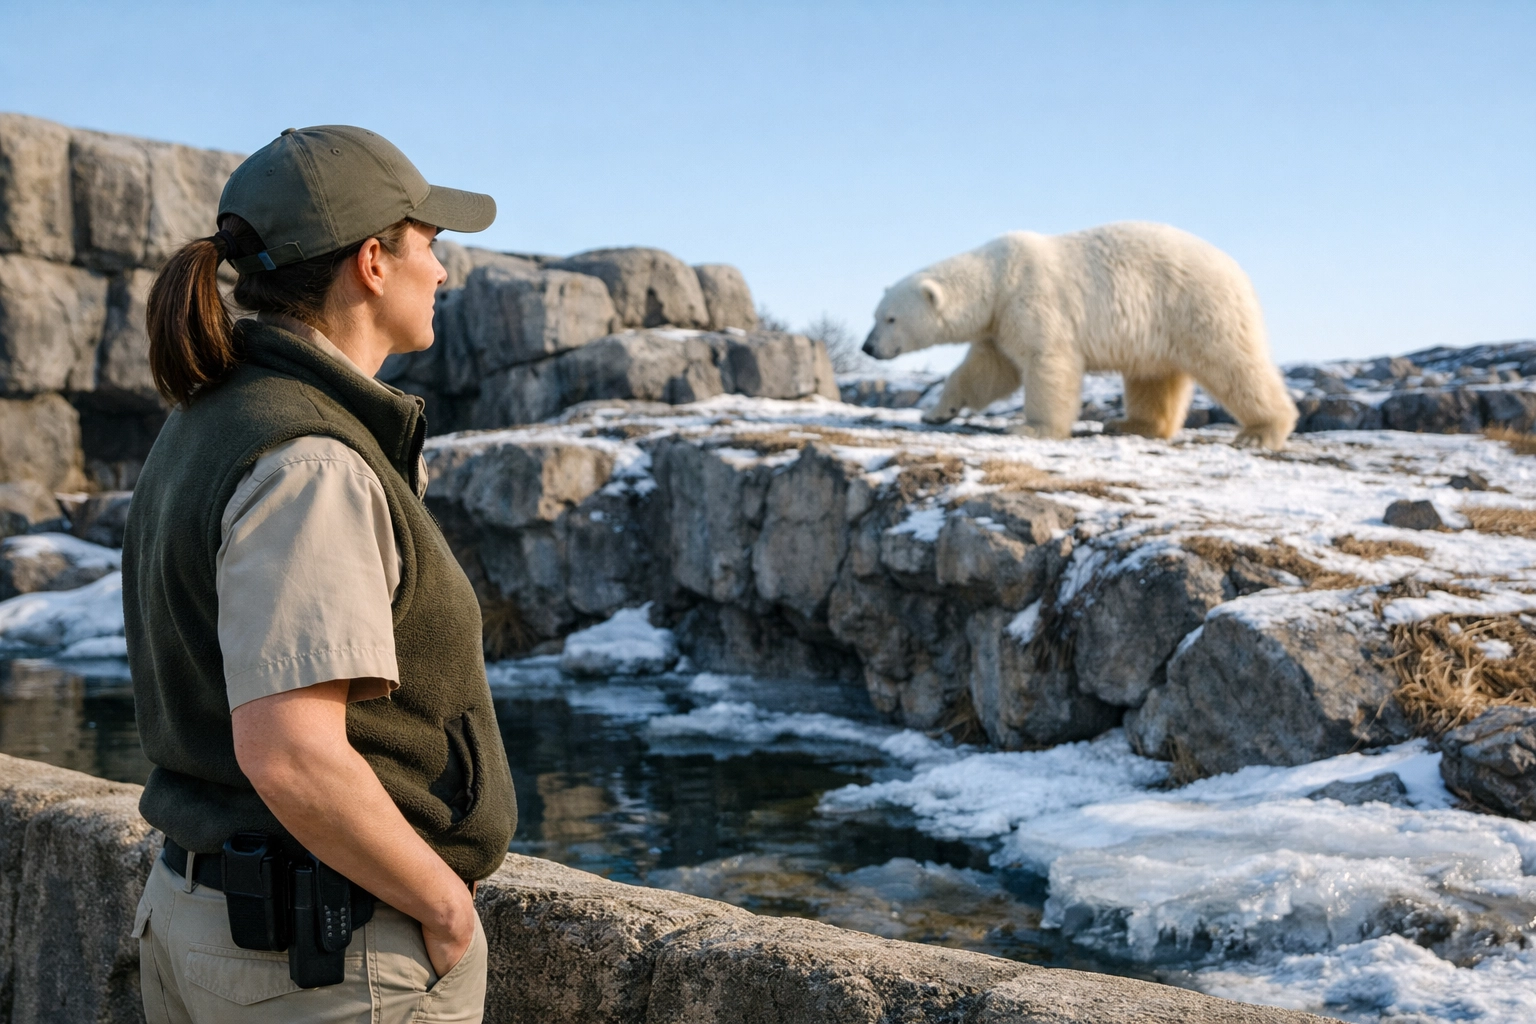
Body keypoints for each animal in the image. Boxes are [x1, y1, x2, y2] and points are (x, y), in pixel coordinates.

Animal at [862, 222, 1297, 450]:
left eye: (890, 319)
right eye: (876, 315)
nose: (867, 347)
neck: (999, 277)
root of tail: (1238, 272)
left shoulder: (1032, 300)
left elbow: (1047, 363)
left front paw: (1031, 428)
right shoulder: (1000, 323)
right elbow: (986, 370)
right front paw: (937, 411)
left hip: (1197, 307)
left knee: (1234, 363)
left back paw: (1260, 432)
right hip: (1159, 329)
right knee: (1152, 377)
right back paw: (1131, 424)